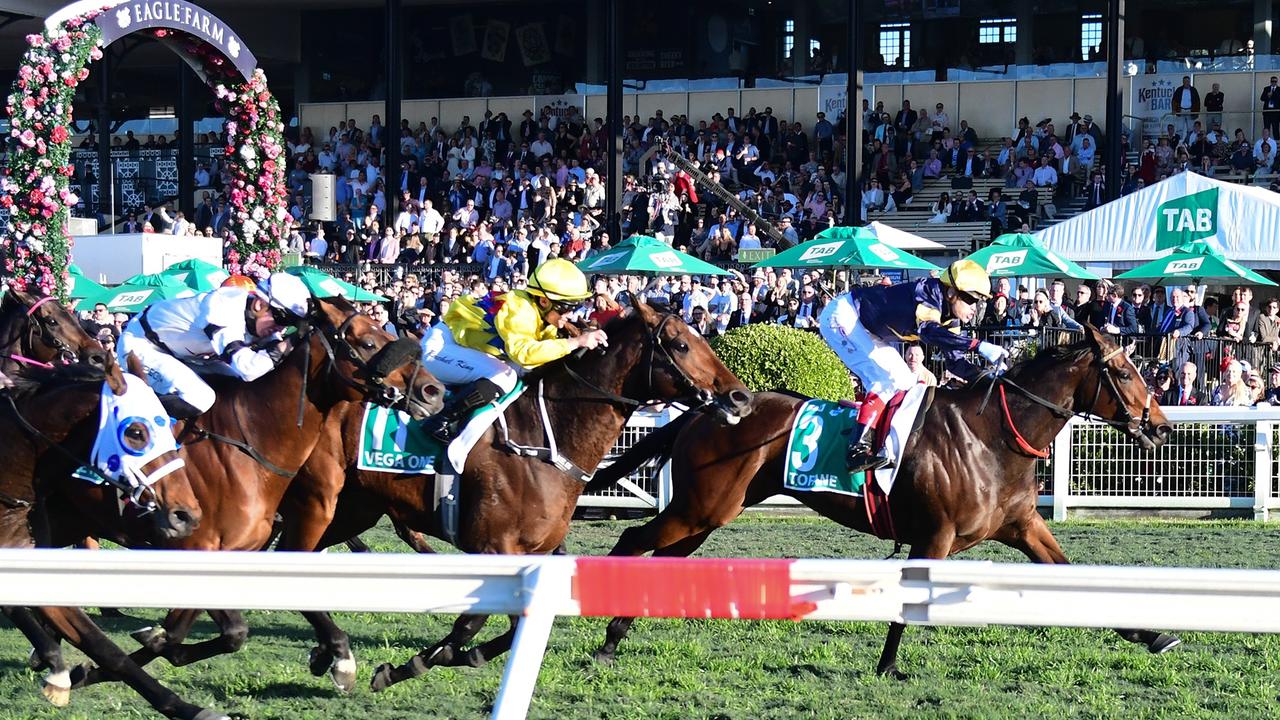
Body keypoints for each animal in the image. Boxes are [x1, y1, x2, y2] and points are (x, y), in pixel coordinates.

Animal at [271, 298, 752, 691]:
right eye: (681, 345)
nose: (740, 397)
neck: (545, 436)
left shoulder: (534, 552)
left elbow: (513, 626)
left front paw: (453, 657)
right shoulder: (491, 546)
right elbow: (469, 625)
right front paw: (407, 666)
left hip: (353, 510)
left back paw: (325, 651)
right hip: (322, 502)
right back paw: (336, 655)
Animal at [586, 322, 1172, 676]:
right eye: (1123, 372)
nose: (1162, 428)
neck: (990, 436)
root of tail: (707, 406)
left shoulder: (1024, 527)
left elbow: (1072, 573)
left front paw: (1153, 634)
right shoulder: (934, 535)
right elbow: (906, 604)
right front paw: (888, 666)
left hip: (707, 513)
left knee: (663, 557)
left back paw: (617, 632)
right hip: (701, 507)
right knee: (632, 538)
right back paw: (599, 626)